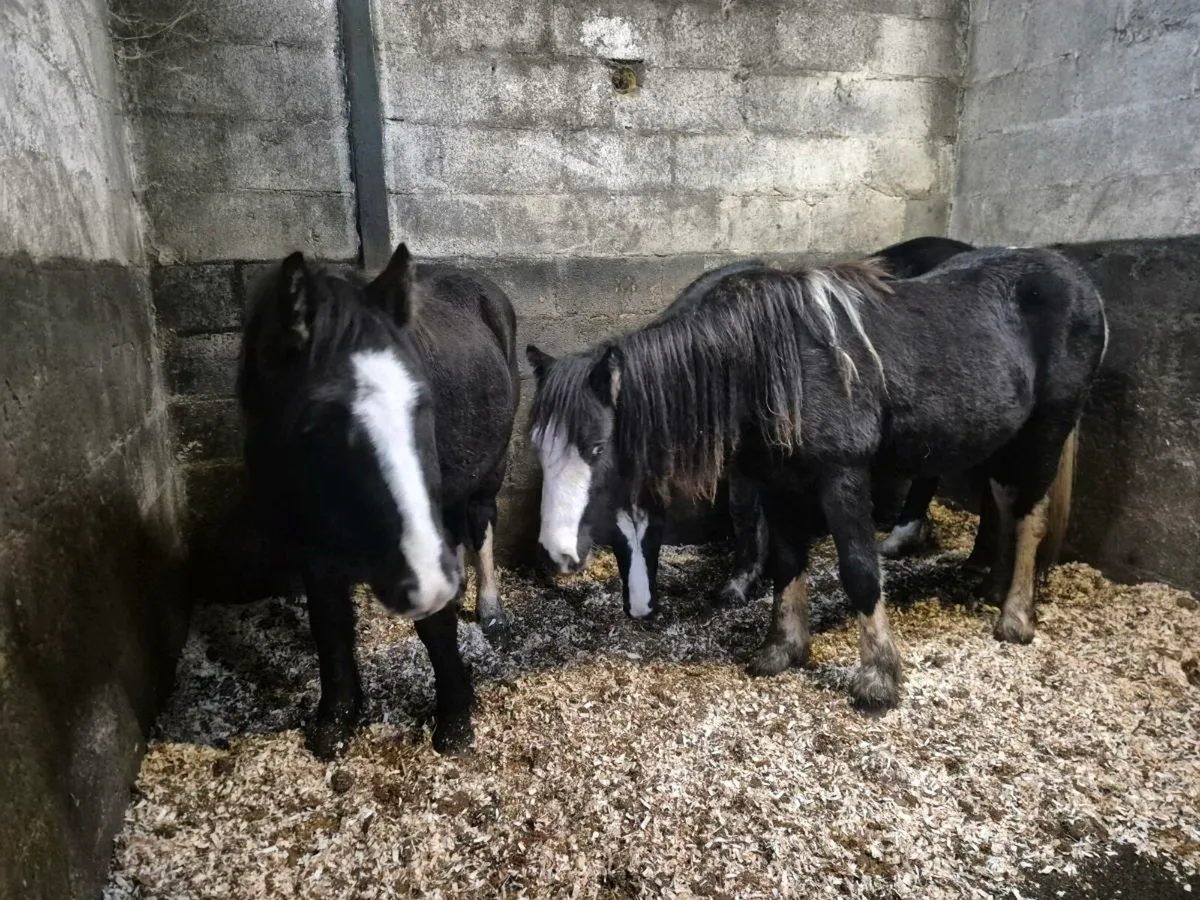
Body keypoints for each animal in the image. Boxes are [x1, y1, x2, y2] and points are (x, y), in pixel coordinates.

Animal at [237, 242, 520, 758]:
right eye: (313, 426)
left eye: (422, 402)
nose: (426, 581)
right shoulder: (308, 545)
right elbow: (329, 626)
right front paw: (335, 720)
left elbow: (435, 626)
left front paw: (455, 719)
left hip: (489, 470)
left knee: (480, 520)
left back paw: (489, 608)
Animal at [527, 236, 980, 619]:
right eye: (539, 447)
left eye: (598, 448)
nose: (557, 552)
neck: (746, 356)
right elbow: (745, 513)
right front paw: (743, 581)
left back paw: (906, 538)